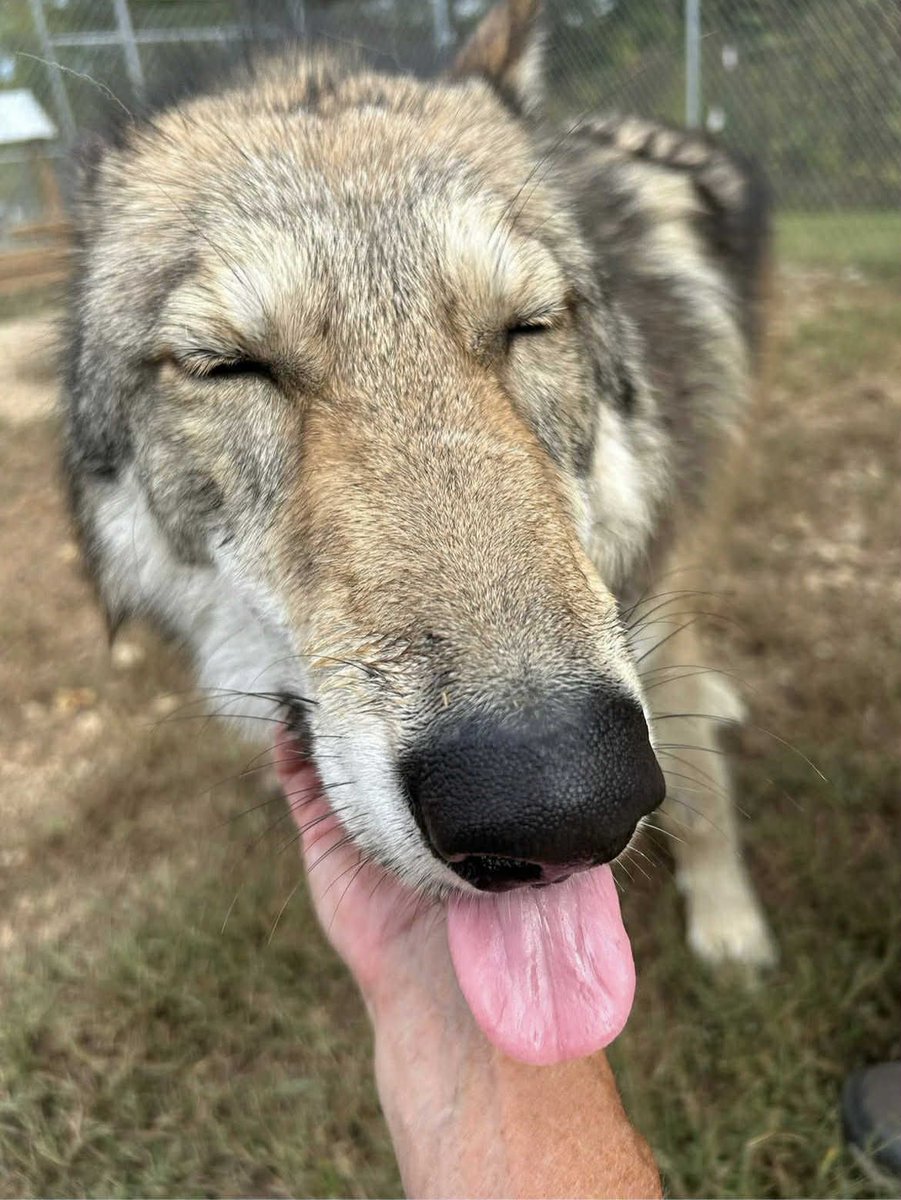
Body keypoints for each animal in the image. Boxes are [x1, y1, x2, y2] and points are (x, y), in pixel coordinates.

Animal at [62, 0, 776, 1027]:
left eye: (528, 326)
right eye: (228, 365)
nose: (558, 801)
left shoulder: (659, 589)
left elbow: (706, 793)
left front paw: (727, 926)